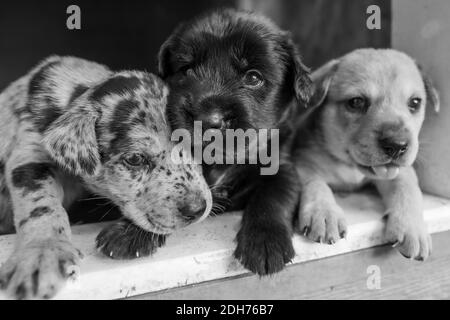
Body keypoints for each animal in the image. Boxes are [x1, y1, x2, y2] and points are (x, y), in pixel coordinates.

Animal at [0, 56, 212, 298]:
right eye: (135, 159)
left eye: (195, 145)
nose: (197, 209)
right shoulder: (31, 151)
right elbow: (41, 205)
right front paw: (42, 253)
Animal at [159, 10, 312, 276]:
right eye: (186, 70)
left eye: (253, 77)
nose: (208, 119)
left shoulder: (283, 169)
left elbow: (273, 197)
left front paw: (265, 242)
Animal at [292, 49, 440, 260]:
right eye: (356, 102)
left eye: (415, 102)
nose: (397, 145)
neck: (349, 166)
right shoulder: (303, 162)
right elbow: (315, 184)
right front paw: (324, 213)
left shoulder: (401, 171)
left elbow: (408, 189)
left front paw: (413, 228)